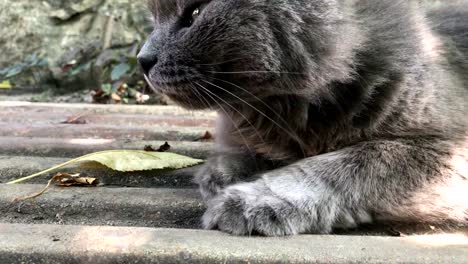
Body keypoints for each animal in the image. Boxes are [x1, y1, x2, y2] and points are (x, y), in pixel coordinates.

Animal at [138, 0, 468, 235]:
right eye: (153, 17)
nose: (143, 60)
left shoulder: (446, 146)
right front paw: (223, 173)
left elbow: (350, 165)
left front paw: (257, 198)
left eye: (195, 12)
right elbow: (235, 152)